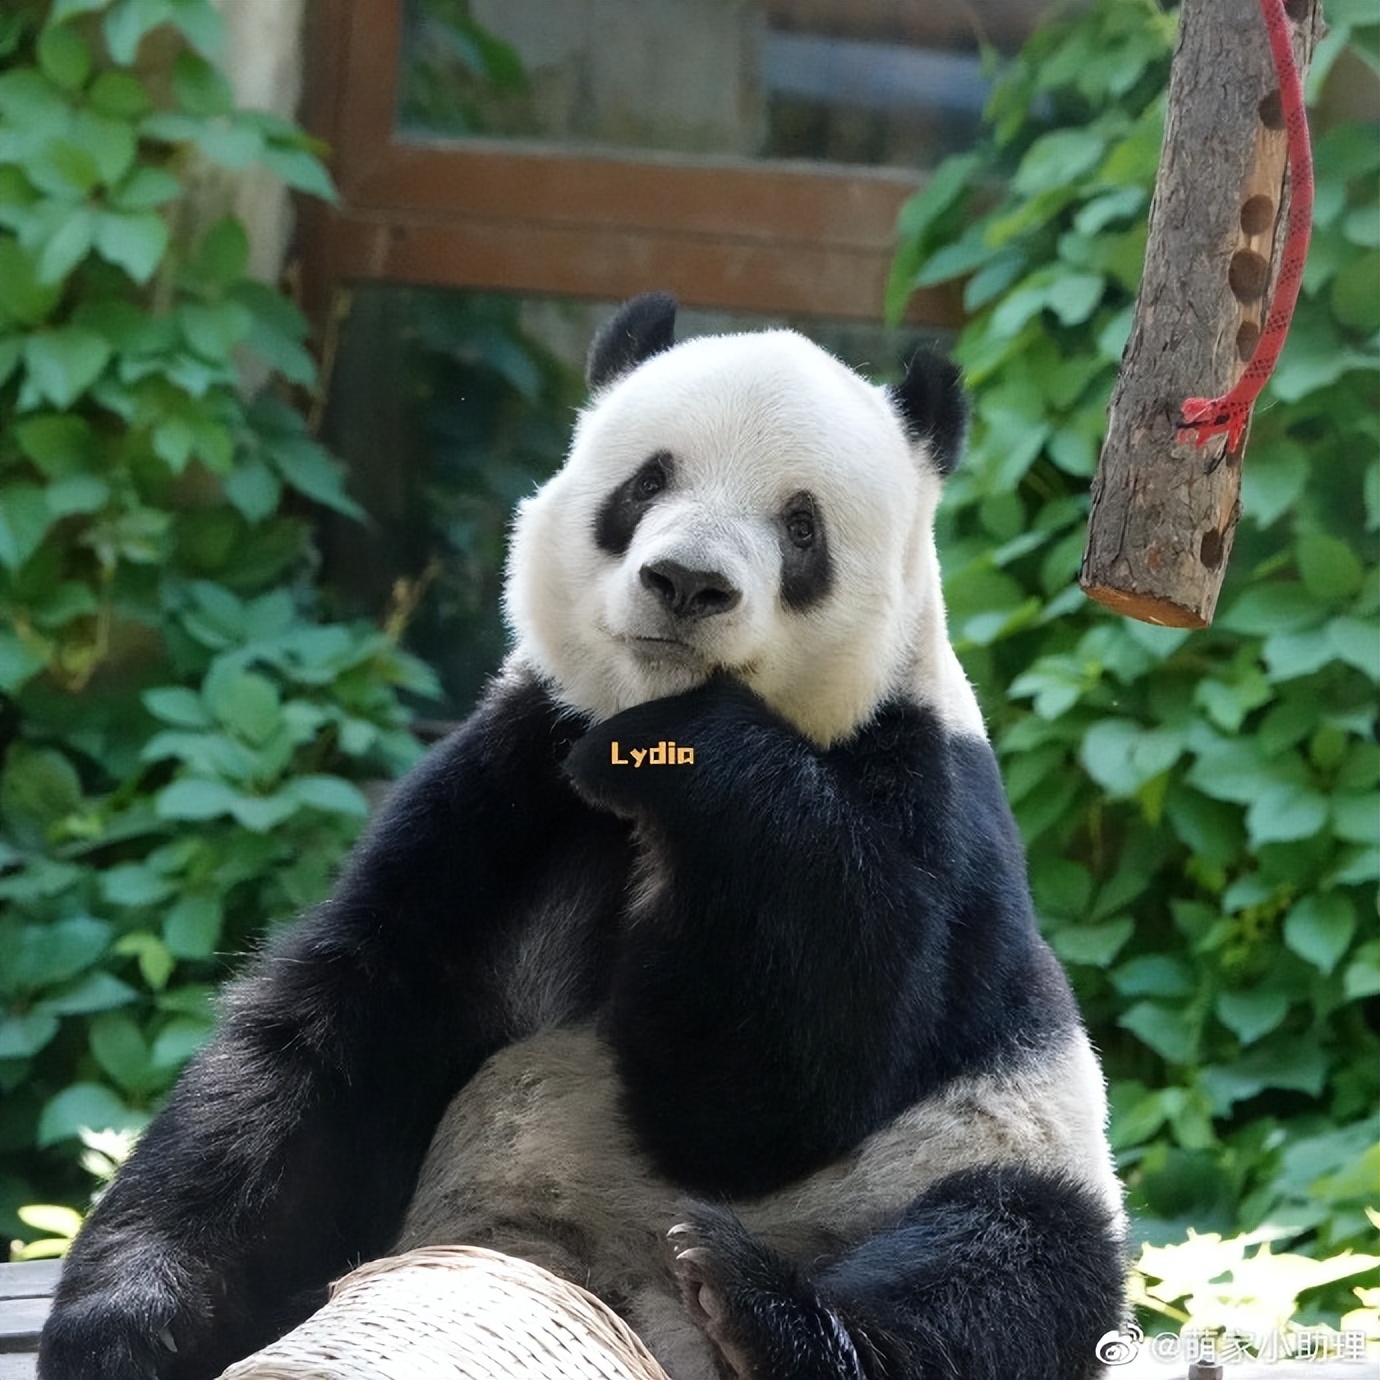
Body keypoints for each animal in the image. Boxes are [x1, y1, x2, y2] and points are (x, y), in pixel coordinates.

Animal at [43, 293, 1126, 1380]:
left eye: (802, 525)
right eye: (647, 481)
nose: (687, 583)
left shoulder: (925, 802)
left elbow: (787, 1086)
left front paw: (698, 752)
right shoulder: (511, 780)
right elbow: (327, 1040)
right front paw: (128, 1325)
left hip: (982, 1159)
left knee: (1009, 1264)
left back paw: (764, 1313)